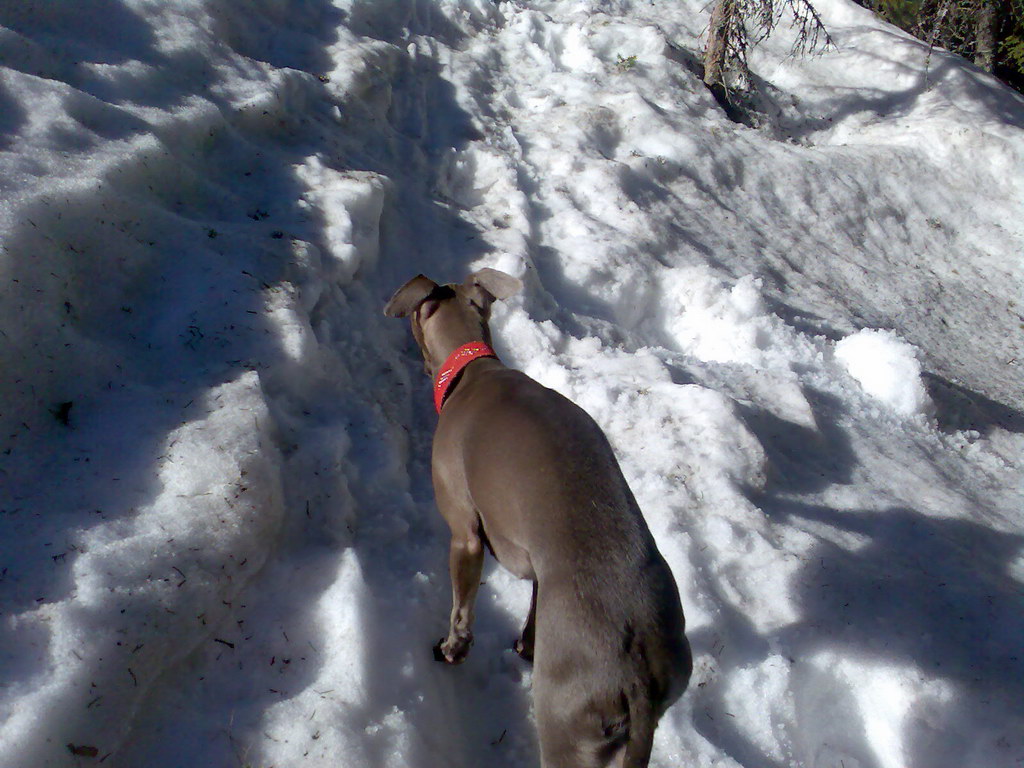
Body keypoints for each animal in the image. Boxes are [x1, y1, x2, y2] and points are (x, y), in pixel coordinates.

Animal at [385, 268, 696, 768]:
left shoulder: (465, 532)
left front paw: (451, 650)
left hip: (568, 723)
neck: (476, 373)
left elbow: (461, 608)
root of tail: (639, 677)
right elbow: (532, 606)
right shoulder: (537, 564)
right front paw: (525, 646)